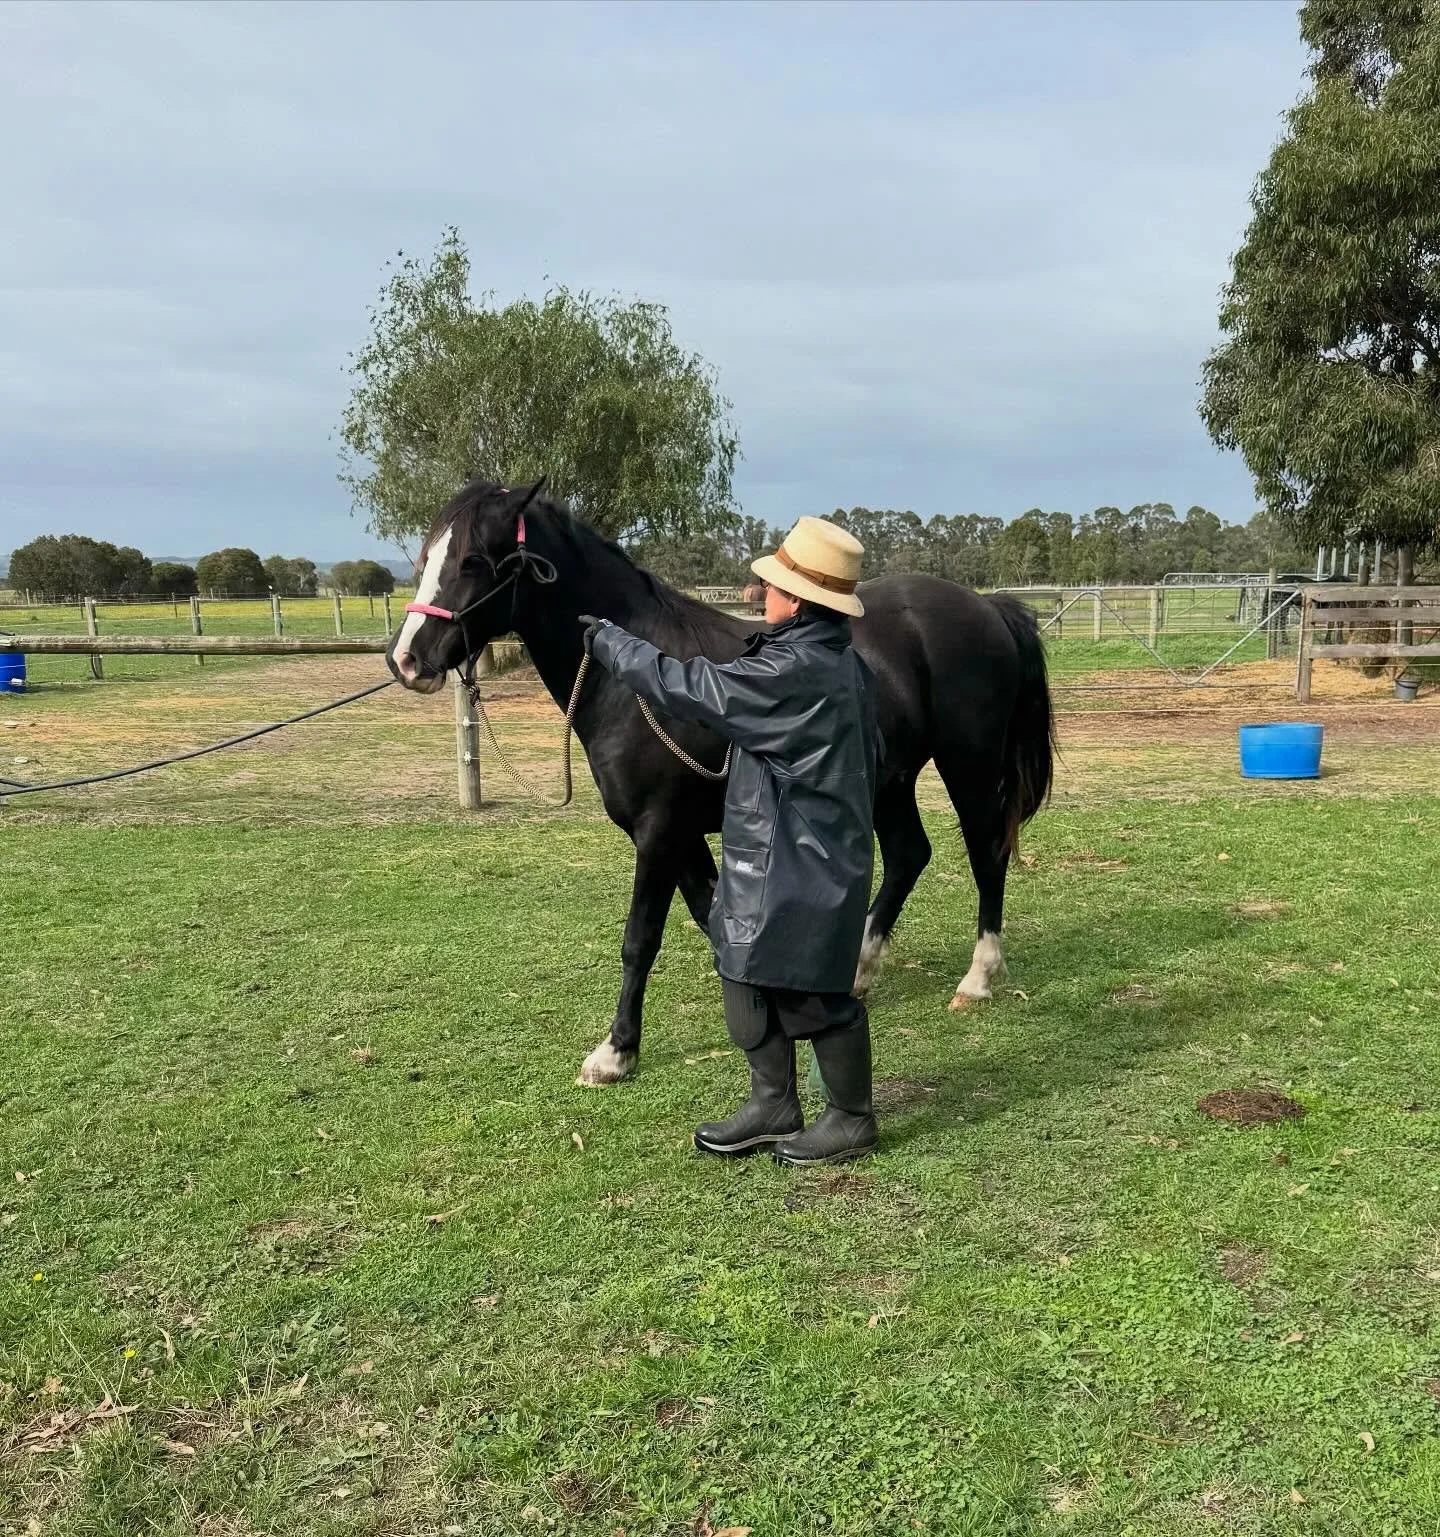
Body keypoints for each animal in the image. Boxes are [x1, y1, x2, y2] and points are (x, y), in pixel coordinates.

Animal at [387, 479, 1054, 1086]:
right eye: (425, 559)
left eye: (474, 560)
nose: (407, 660)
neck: (634, 681)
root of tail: (988, 608)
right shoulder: (677, 835)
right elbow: (711, 917)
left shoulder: (659, 832)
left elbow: (641, 938)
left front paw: (616, 1052)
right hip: (890, 781)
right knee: (910, 854)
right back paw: (860, 969)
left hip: (968, 766)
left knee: (986, 854)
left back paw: (978, 977)